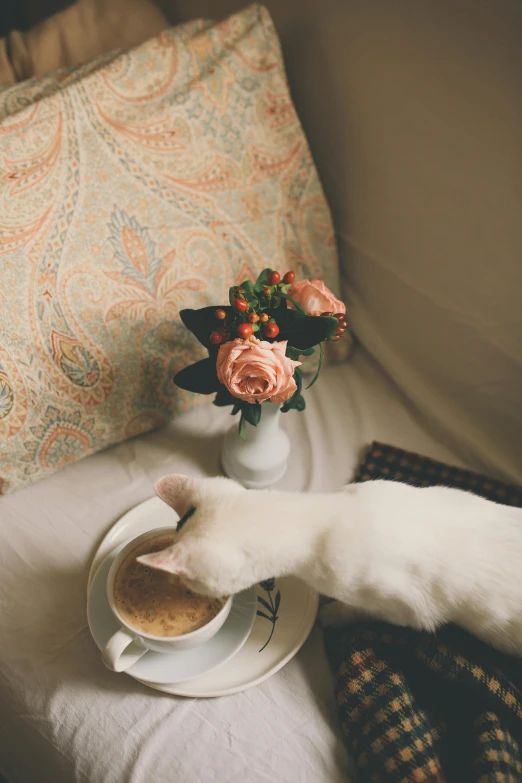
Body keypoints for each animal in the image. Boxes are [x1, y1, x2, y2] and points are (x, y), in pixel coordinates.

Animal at [137, 474, 520, 660]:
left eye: (190, 586)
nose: (184, 591)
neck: (322, 519)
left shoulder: (409, 611)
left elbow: (365, 611)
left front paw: (333, 615)